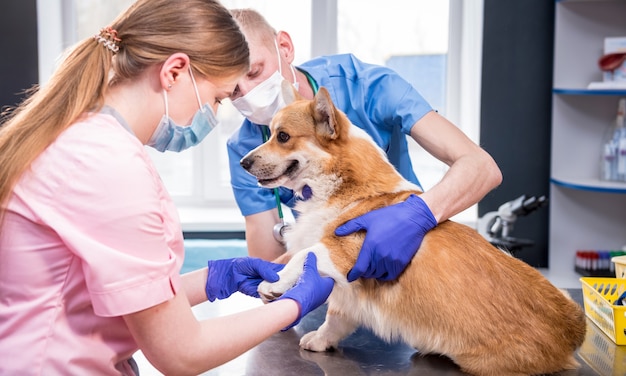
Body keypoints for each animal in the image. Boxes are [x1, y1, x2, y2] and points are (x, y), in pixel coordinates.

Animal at [240, 83, 584, 376]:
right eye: (271, 133)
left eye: (283, 136)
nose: (243, 162)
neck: (343, 185)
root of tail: (570, 335)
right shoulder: (346, 292)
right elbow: (334, 318)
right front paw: (319, 339)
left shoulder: (342, 252)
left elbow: (304, 257)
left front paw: (274, 283)